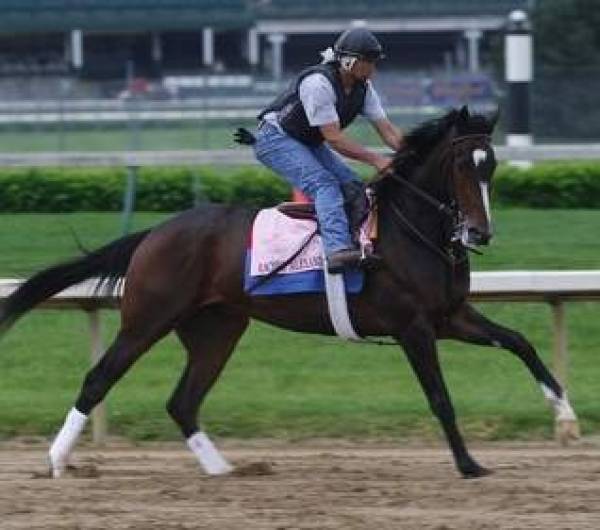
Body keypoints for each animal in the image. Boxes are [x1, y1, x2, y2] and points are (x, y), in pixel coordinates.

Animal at [1, 105, 580, 476]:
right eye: (462, 165)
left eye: (492, 166)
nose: (478, 233)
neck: (410, 230)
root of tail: (156, 233)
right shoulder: (413, 327)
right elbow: (440, 397)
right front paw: (468, 463)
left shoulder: (450, 316)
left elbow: (520, 343)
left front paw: (566, 416)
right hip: (148, 318)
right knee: (100, 378)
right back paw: (56, 461)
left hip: (217, 329)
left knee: (183, 401)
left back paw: (224, 469)